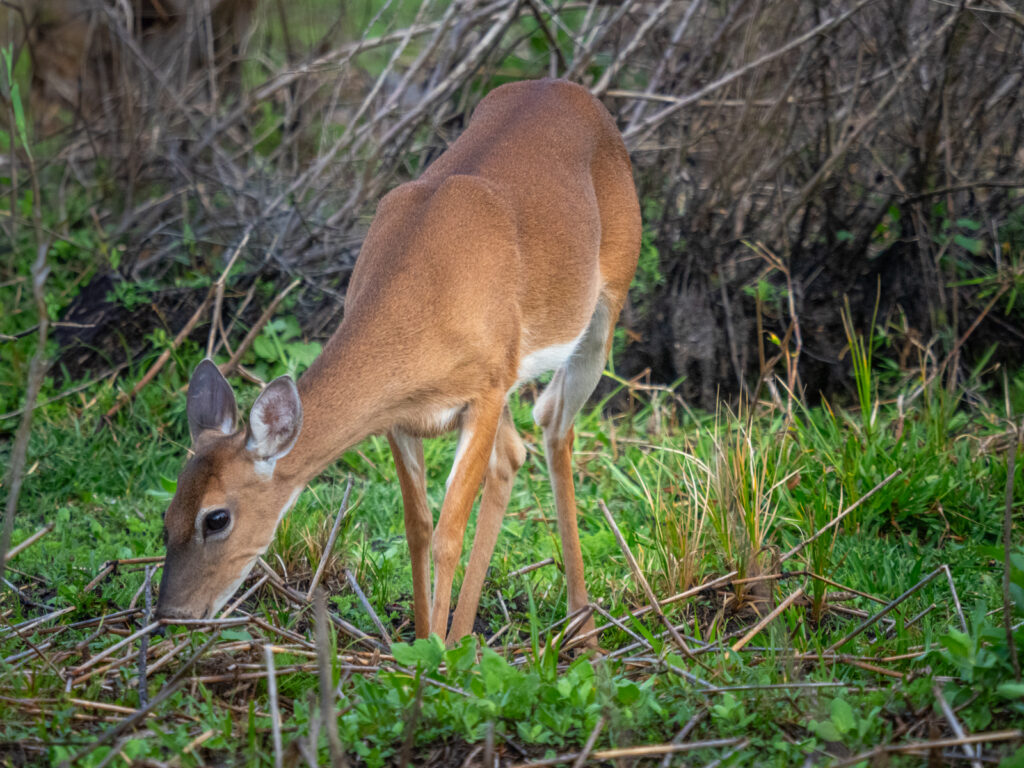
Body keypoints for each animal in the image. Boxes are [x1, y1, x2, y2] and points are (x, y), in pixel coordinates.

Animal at [155, 79, 638, 643]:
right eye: (168, 514)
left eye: (216, 518)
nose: (172, 613)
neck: (423, 295)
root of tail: (569, 88)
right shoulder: (402, 416)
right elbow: (419, 528)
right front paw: (424, 643)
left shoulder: (484, 391)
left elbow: (449, 531)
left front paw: (441, 655)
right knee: (516, 451)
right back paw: (476, 631)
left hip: (600, 317)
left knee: (556, 425)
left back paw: (582, 629)